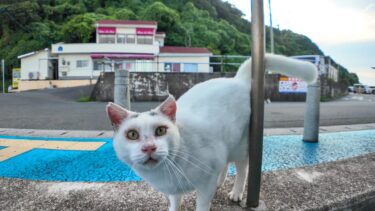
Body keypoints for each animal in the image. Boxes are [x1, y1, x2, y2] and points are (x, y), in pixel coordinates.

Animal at [107, 54, 318, 211]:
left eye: (160, 130)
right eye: (132, 134)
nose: (149, 148)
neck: (167, 171)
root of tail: (237, 80)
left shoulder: (204, 185)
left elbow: (202, 205)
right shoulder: (173, 191)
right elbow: (175, 203)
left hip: (240, 145)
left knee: (242, 169)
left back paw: (236, 192)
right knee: (224, 163)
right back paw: (220, 180)